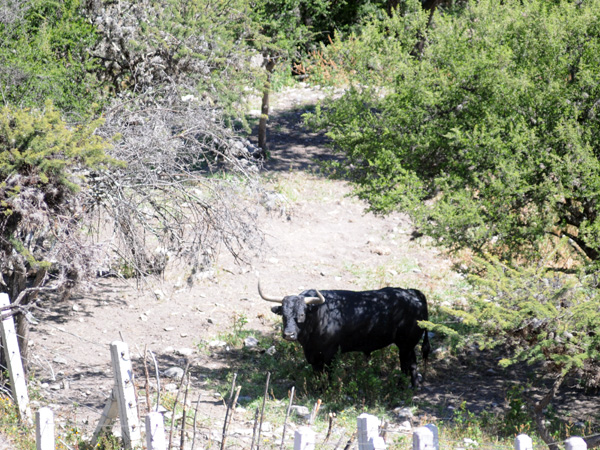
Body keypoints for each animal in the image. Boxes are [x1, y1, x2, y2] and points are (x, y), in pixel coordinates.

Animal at [258, 284, 432, 386]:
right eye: (283, 314)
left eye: (301, 314)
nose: (289, 334)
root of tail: (412, 293)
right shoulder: (312, 354)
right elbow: (317, 372)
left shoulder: (330, 353)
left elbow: (328, 373)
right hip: (406, 345)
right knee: (408, 364)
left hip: (407, 343)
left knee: (409, 364)